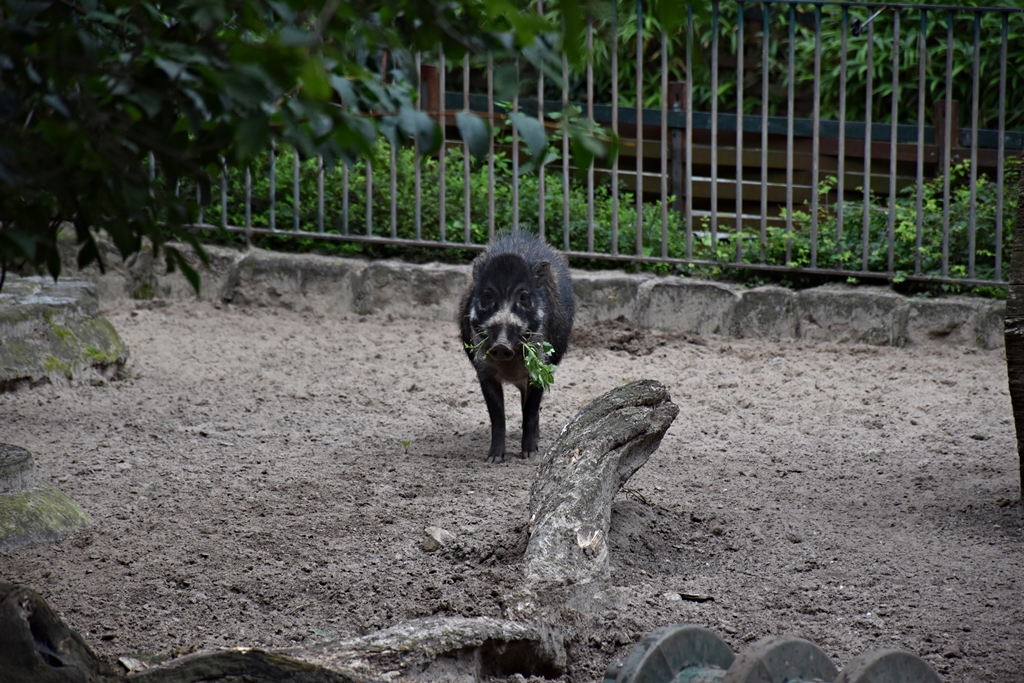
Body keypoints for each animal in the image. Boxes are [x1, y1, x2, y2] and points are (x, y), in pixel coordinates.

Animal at [459, 232, 575, 463]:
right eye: (487, 296)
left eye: (523, 297)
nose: (501, 345)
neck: (509, 367)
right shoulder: (485, 372)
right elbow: (497, 416)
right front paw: (494, 459)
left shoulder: (539, 369)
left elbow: (530, 411)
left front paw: (529, 455)